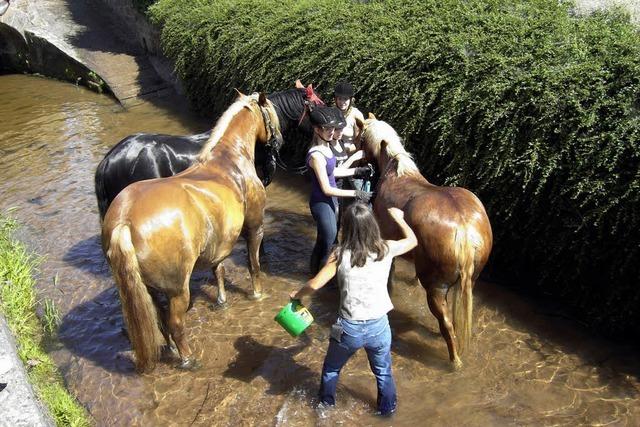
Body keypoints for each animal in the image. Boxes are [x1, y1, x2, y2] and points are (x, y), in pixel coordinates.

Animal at [102, 92, 280, 372]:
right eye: (271, 113)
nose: (278, 141)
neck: (229, 161)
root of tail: (124, 222)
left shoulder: (220, 241)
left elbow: (218, 270)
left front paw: (222, 301)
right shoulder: (254, 228)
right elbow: (254, 265)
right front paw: (258, 294)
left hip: (147, 288)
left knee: (159, 319)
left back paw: (172, 349)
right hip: (177, 289)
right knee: (174, 323)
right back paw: (187, 359)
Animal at [358, 115, 492, 370]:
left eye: (360, 138)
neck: (397, 173)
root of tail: (463, 227)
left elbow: (390, 271)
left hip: (436, 288)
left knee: (446, 323)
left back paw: (455, 361)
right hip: (471, 280)